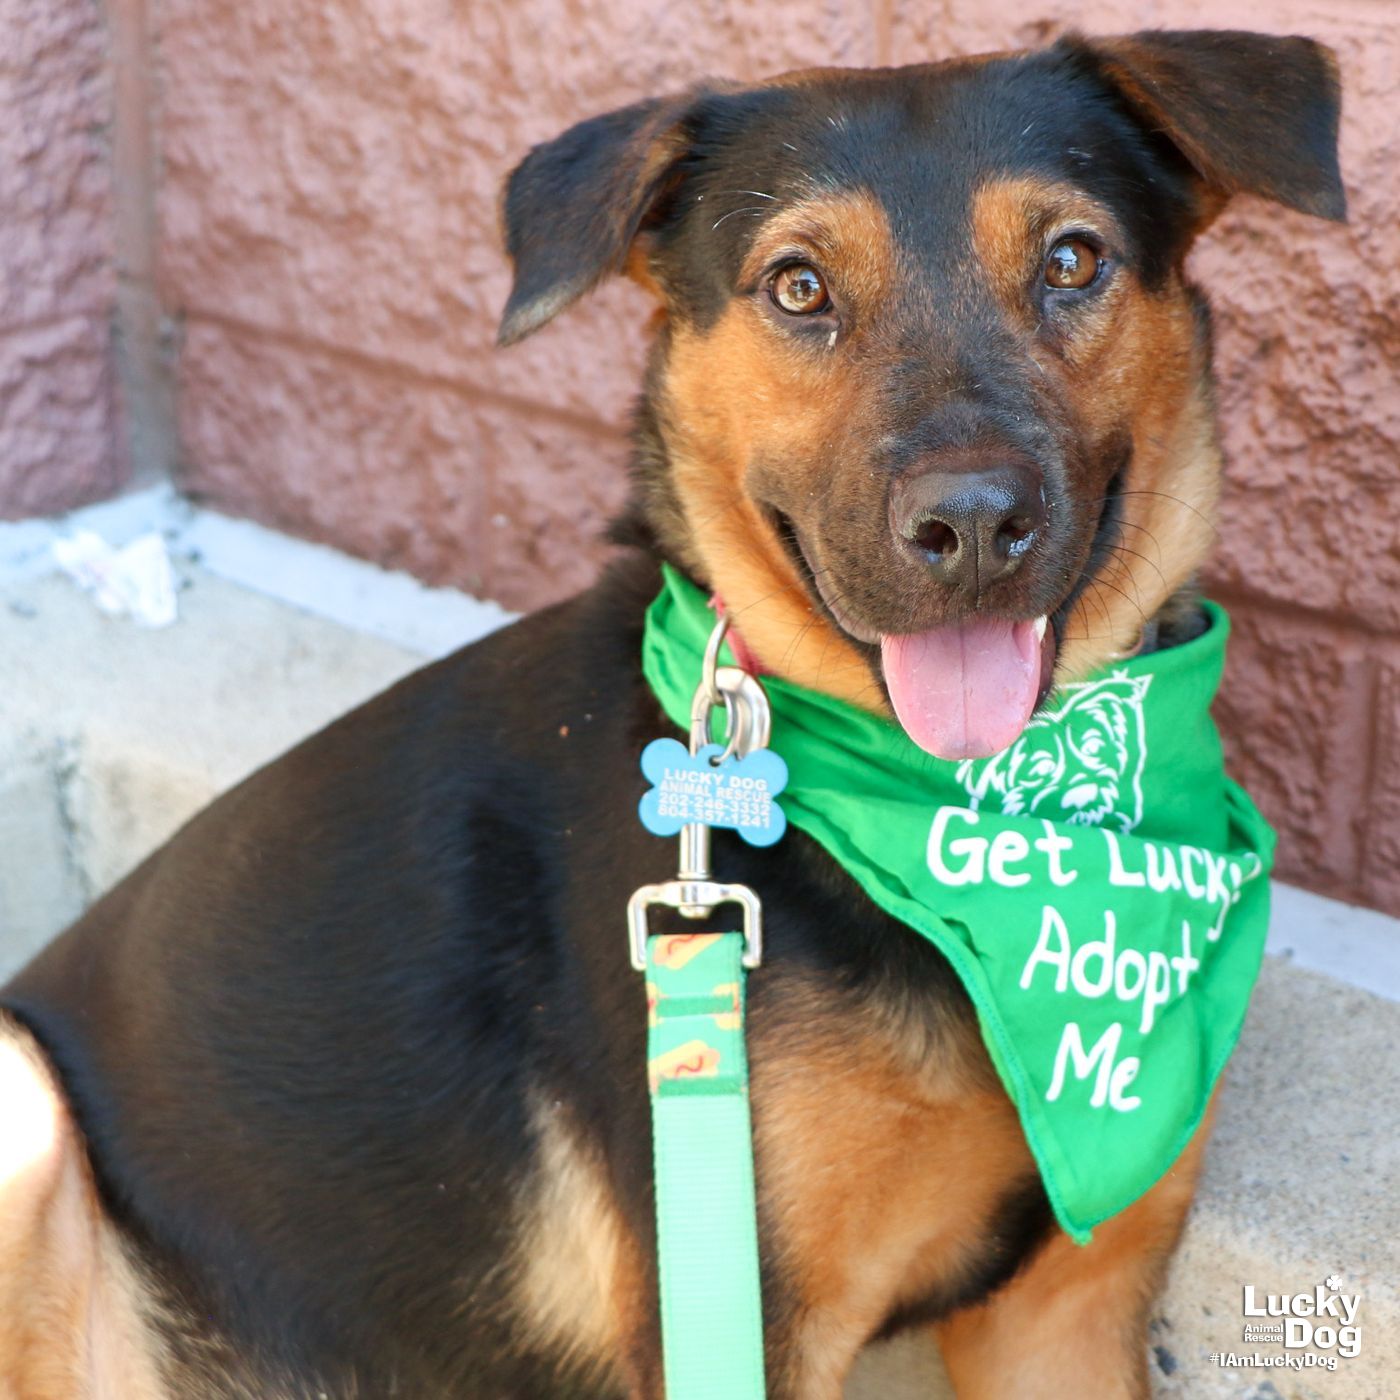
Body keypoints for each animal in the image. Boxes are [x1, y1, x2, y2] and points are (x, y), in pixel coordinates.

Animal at [0, 30, 1344, 1400]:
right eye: (797, 287)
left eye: (1071, 260)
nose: (968, 524)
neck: (958, 815)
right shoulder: (743, 1302)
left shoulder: (1067, 1307)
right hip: (23, 1091)